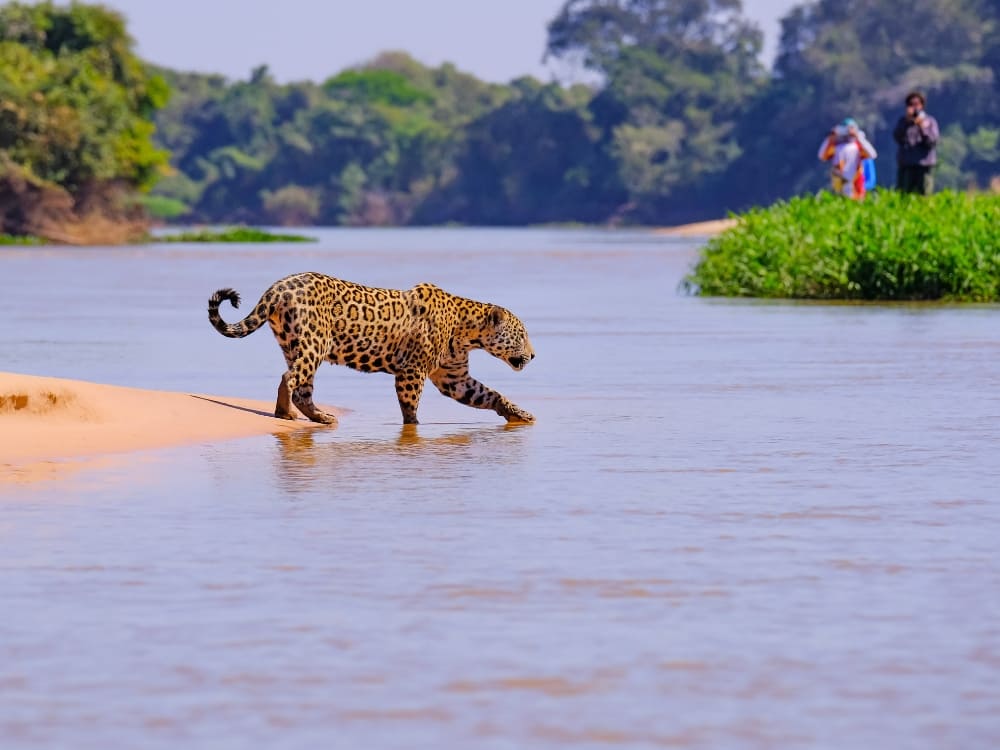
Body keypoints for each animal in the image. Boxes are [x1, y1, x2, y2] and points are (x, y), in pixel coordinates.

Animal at [207, 271, 536, 426]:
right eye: (522, 335)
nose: (533, 355)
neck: (467, 330)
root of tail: (278, 287)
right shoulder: (412, 371)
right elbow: (410, 408)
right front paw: (414, 428)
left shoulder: (454, 378)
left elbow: (490, 394)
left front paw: (520, 414)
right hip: (315, 342)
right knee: (290, 378)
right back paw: (284, 414)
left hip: (294, 344)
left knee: (301, 386)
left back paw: (320, 417)